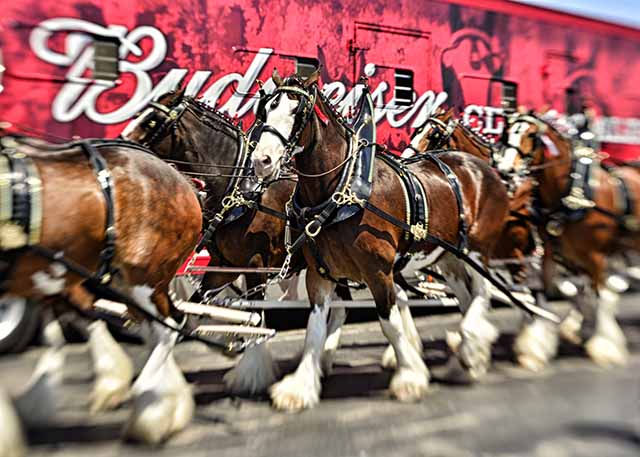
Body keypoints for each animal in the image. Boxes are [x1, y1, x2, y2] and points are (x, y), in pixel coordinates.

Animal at [0, 134, 202, 442]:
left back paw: (149, 412)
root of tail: (181, 179)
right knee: (153, 328)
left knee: (168, 327)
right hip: (109, 278)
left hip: (144, 277)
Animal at [250, 71, 516, 410]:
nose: (261, 160)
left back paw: (473, 347)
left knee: (483, 293)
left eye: (298, 112)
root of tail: (483, 168)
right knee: (467, 299)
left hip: (478, 250)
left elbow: (389, 323)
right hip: (448, 257)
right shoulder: (320, 274)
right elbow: (315, 329)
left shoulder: (378, 272)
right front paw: (299, 387)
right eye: (265, 109)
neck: (343, 191)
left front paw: (410, 376)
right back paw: (469, 355)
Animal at [500, 112, 636, 366]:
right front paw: (535, 346)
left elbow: (600, 295)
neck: (570, 191)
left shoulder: (595, 256)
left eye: (532, 135)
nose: (505, 169)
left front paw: (605, 346)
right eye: (506, 132)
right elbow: (547, 292)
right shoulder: (554, 251)